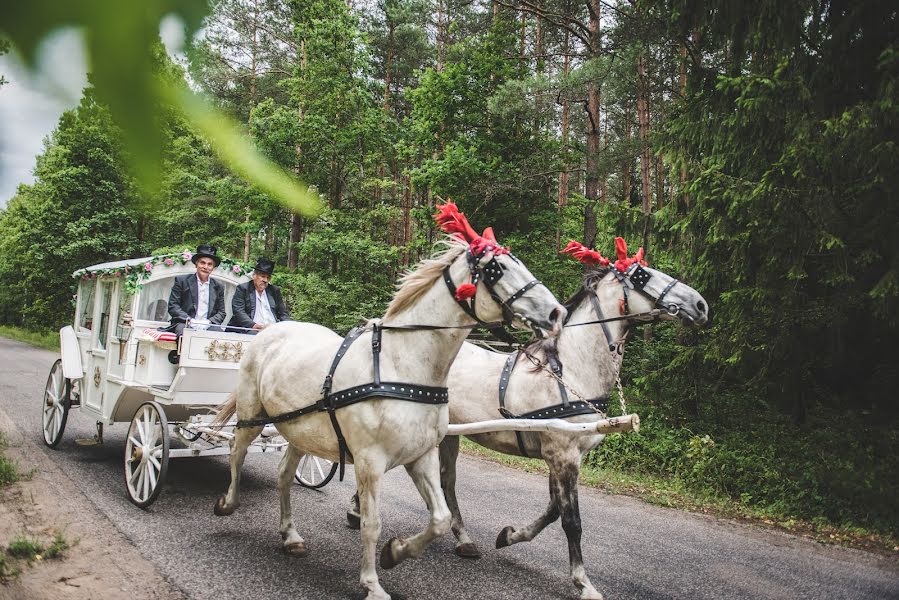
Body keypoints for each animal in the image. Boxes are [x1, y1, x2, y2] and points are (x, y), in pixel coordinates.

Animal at [213, 206, 564, 600]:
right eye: (497, 268)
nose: (556, 313)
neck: (403, 366)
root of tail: (272, 331)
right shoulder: (370, 462)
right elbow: (372, 522)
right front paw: (371, 582)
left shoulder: (421, 455)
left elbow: (440, 518)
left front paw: (396, 552)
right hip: (252, 413)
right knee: (237, 451)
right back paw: (228, 503)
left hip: (299, 431)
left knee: (284, 475)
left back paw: (290, 536)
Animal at [348, 237, 712, 596]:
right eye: (642, 275)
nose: (700, 305)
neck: (570, 370)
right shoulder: (562, 453)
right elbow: (571, 521)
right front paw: (583, 581)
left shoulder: (564, 456)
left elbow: (553, 511)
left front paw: (511, 536)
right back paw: (357, 511)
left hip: (449, 434)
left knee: (446, 482)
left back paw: (461, 538)